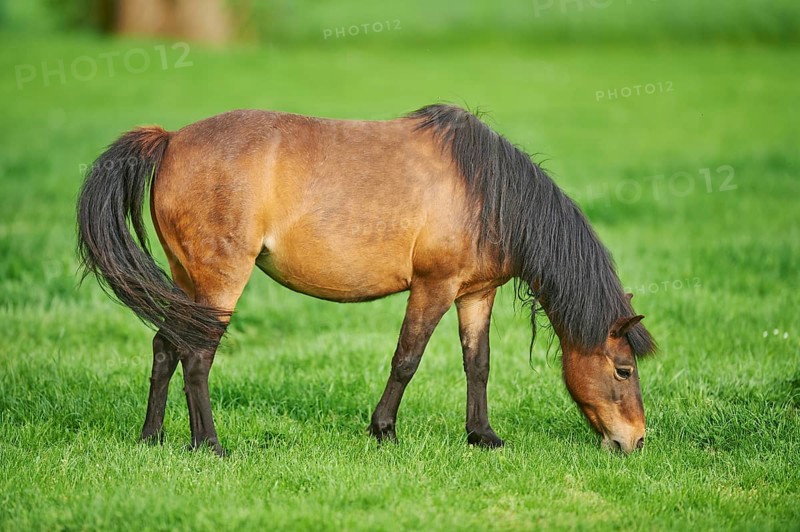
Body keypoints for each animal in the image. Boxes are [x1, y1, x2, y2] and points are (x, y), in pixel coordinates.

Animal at [77, 104, 656, 456]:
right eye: (623, 370)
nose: (636, 441)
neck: (485, 190)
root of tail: (171, 139)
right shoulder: (433, 287)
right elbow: (407, 359)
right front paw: (384, 430)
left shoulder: (475, 293)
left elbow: (478, 364)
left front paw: (481, 435)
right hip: (220, 280)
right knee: (196, 355)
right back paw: (210, 445)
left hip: (186, 280)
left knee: (166, 346)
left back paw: (152, 437)